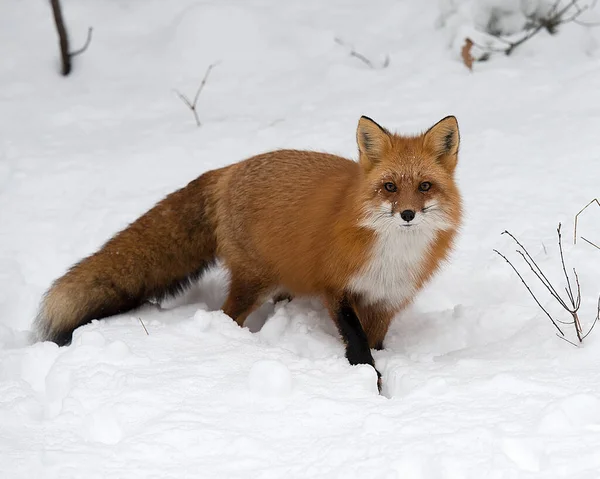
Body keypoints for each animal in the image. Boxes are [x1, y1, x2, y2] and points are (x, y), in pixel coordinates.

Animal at [35, 115, 462, 390]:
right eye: (390, 187)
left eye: (424, 186)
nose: (407, 214)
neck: (392, 255)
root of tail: (229, 168)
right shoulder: (336, 288)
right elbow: (358, 347)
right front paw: (368, 383)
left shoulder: (387, 299)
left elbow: (374, 344)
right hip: (253, 281)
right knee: (228, 316)